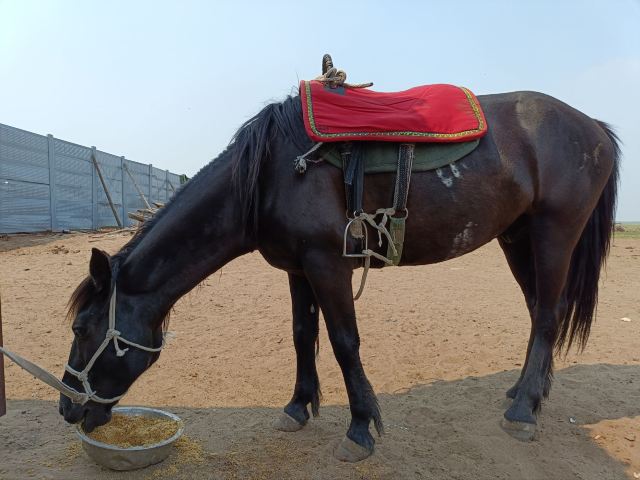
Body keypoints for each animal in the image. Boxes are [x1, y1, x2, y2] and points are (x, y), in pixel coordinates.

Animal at [58, 88, 620, 462]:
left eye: (82, 329)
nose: (68, 408)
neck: (271, 172)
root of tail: (592, 125)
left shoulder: (329, 264)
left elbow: (345, 341)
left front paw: (360, 428)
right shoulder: (297, 268)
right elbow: (302, 334)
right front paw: (298, 407)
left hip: (553, 235)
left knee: (547, 316)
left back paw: (523, 411)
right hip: (517, 239)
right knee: (539, 313)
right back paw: (527, 393)